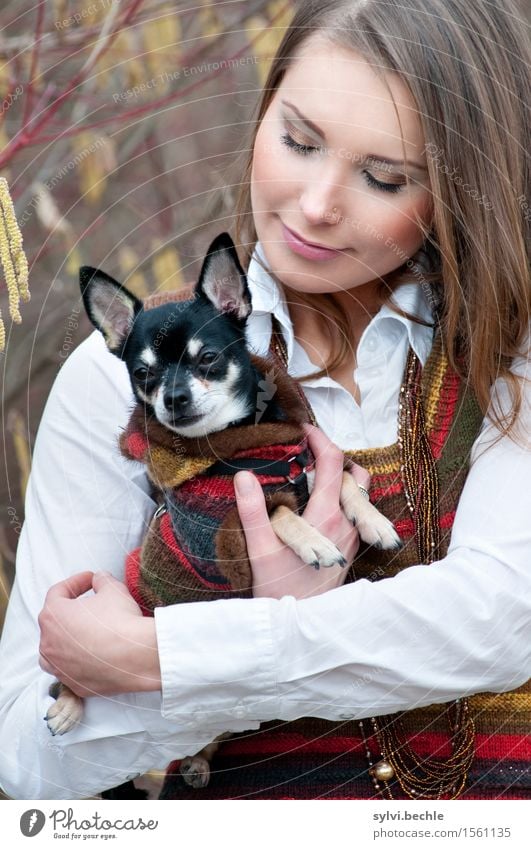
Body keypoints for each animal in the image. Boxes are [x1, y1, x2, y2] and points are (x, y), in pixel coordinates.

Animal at [45, 232, 402, 788]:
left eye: (208, 357)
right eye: (143, 373)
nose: (172, 396)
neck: (239, 446)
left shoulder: (305, 463)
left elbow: (342, 478)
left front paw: (374, 520)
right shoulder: (222, 525)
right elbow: (278, 512)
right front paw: (316, 541)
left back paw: (196, 761)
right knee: (73, 677)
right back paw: (67, 705)